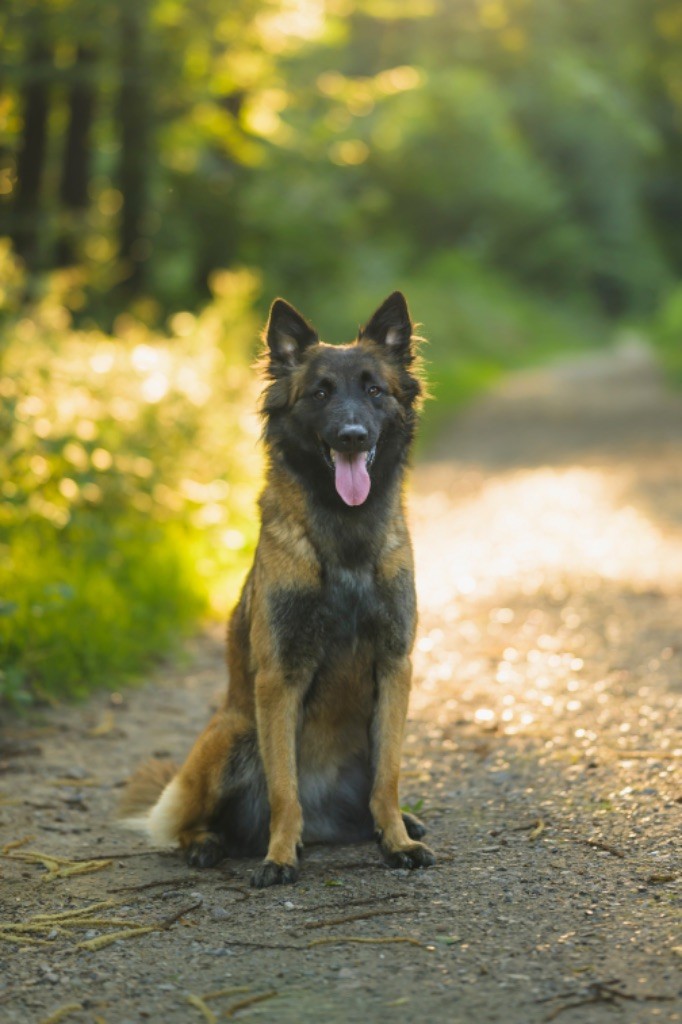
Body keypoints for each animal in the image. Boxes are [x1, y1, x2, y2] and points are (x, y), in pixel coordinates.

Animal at [118, 292, 432, 884]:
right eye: (320, 393)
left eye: (374, 390)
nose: (352, 436)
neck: (344, 538)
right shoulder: (278, 679)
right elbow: (285, 788)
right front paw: (280, 854)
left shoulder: (394, 665)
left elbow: (388, 779)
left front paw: (397, 842)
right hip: (231, 733)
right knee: (185, 823)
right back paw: (207, 844)